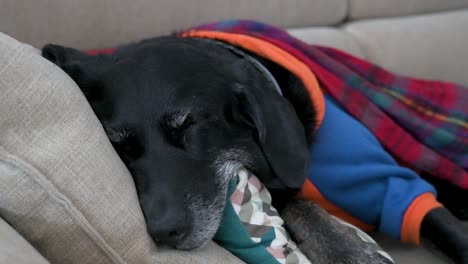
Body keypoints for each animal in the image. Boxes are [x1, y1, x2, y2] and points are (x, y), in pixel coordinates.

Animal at [43, 36, 468, 262]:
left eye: (189, 125)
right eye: (121, 147)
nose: (164, 232)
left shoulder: (390, 181)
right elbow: (296, 202)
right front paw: (342, 247)